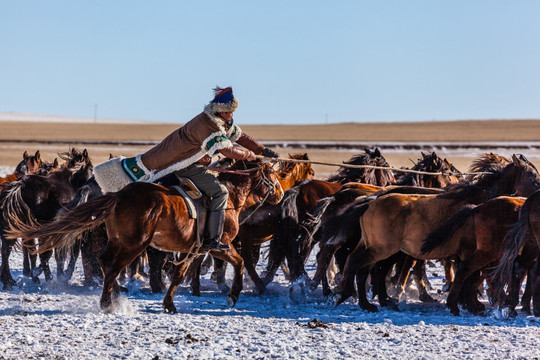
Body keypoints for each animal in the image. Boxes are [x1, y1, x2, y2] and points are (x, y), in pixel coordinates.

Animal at [8, 160, 282, 312]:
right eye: (272, 174)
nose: (279, 194)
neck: (229, 197)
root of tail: (119, 195)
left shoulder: (194, 249)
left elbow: (180, 274)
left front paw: (169, 304)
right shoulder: (218, 245)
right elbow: (240, 262)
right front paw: (233, 296)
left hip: (119, 241)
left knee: (105, 262)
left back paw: (115, 296)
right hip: (134, 245)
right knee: (111, 265)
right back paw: (108, 303)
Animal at [334, 154, 540, 312]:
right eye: (533, 176)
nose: (536, 196)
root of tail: (370, 202)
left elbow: (474, 276)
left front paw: (470, 302)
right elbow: (478, 276)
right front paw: (477, 302)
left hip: (381, 249)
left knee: (368, 269)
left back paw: (376, 301)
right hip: (383, 249)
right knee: (360, 265)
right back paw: (354, 297)